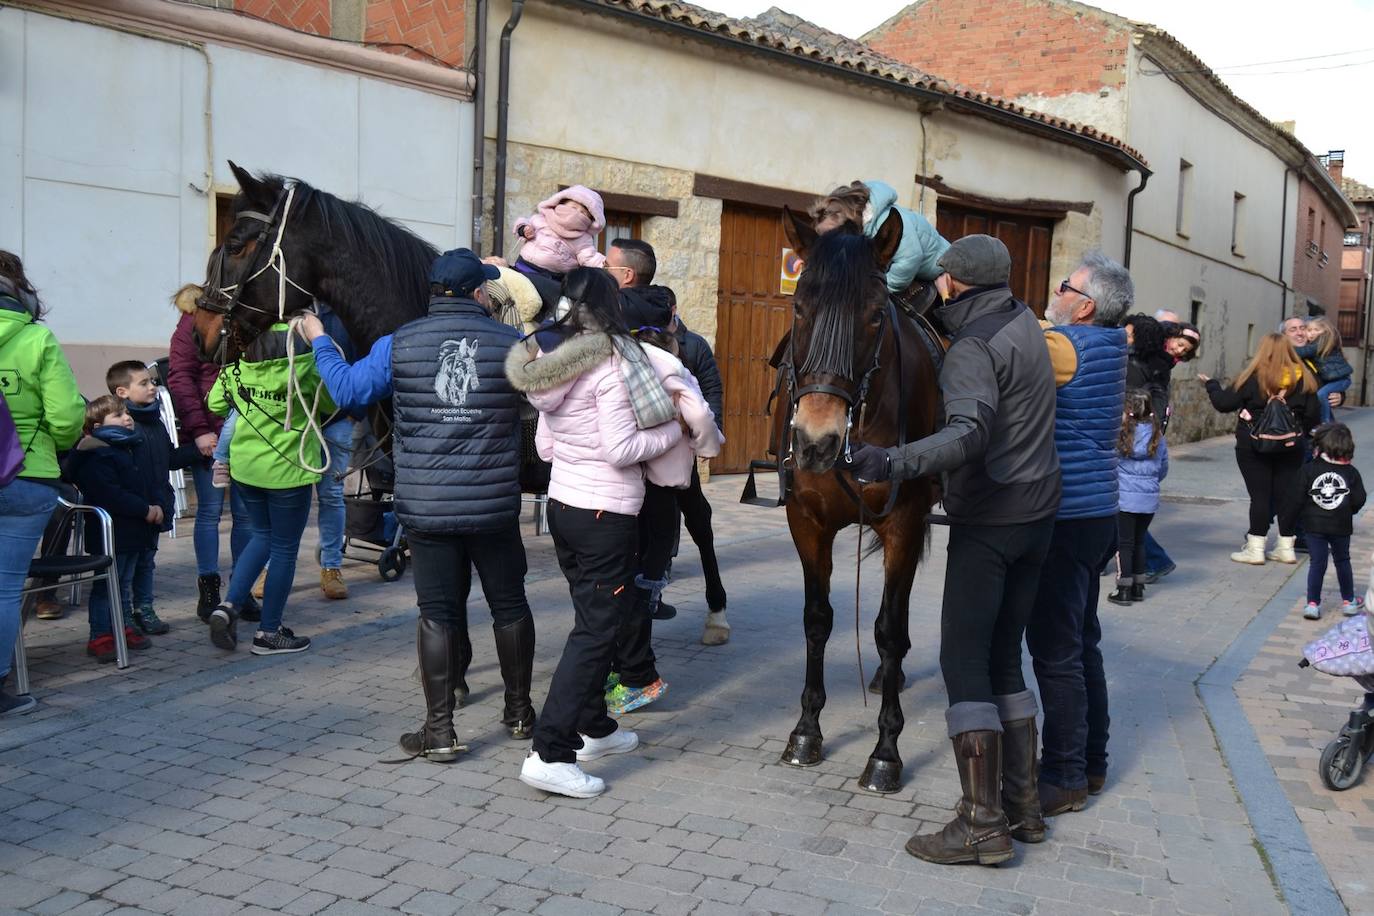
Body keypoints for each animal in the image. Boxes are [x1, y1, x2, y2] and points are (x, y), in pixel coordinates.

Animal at [774, 210, 945, 796]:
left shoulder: (904, 521)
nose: (816, 440)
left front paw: (885, 752)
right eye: (799, 308)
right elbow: (816, 620)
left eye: (874, 318)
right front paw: (805, 730)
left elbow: (888, 631)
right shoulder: (806, 521)